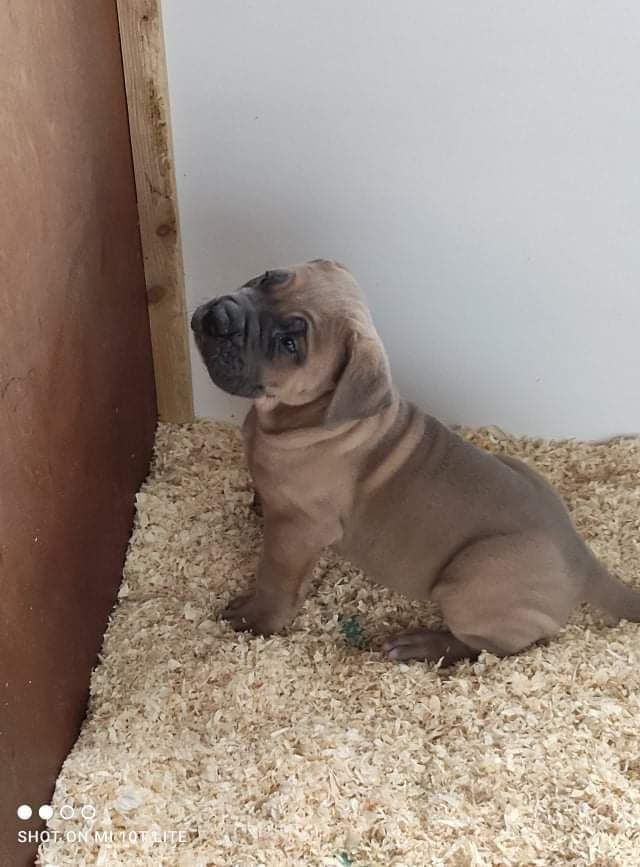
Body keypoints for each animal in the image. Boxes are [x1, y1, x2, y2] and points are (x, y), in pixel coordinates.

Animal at [191, 259, 640, 665]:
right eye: (268, 278)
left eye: (289, 344)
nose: (220, 317)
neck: (302, 416)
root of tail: (582, 561)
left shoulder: (298, 531)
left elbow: (274, 579)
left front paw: (255, 619)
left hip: (472, 577)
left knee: (489, 648)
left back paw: (422, 646)